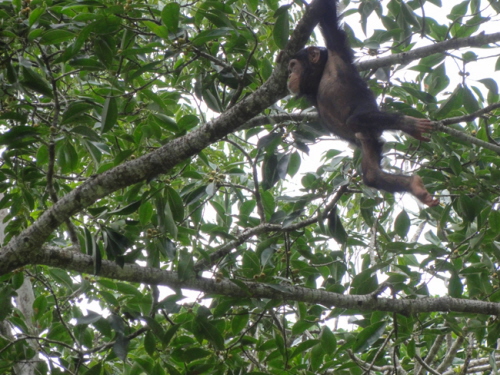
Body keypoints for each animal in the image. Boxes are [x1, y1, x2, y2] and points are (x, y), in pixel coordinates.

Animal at [288, 0, 440, 209]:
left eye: (293, 65)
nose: (289, 75)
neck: (319, 76)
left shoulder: (335, 46)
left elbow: (327, 16)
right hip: (367, 139)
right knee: (371, 175)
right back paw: (414, 186)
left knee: (355, 120)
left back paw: (408, 124)